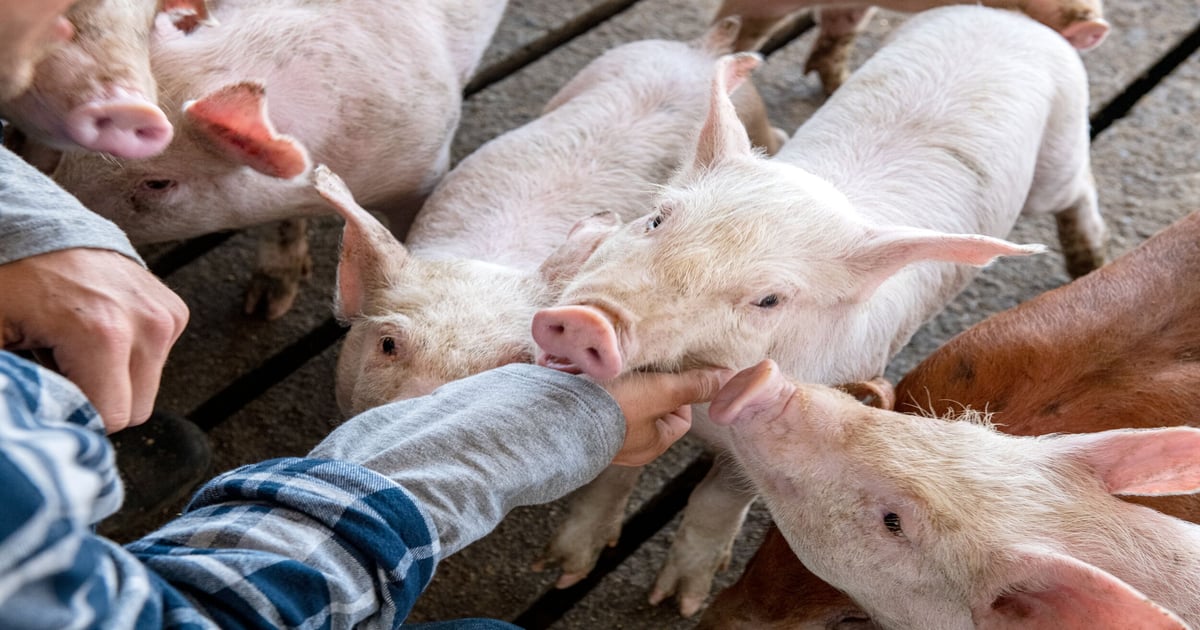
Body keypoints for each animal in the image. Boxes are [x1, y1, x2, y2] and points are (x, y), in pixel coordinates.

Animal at [530, 5, 1106, 616]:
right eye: (657, 218)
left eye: (769, 299)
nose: (590, 319)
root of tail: (1009, 17)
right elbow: (614, 472)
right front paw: (561, 571)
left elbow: (718, 497)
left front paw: (677, 603)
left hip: (1060, 146)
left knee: (1076, 186)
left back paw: (1089, 258)